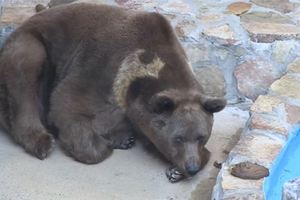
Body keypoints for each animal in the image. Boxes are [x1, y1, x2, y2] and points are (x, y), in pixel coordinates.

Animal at [0, 3, 225, 183]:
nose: (191, 167)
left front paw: (178, 170)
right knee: (25, 73)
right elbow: (67, 105)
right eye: (178, 138)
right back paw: (42, 142)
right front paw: (101, 145)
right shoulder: (97, 66)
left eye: (201, 137)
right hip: (32, 45)